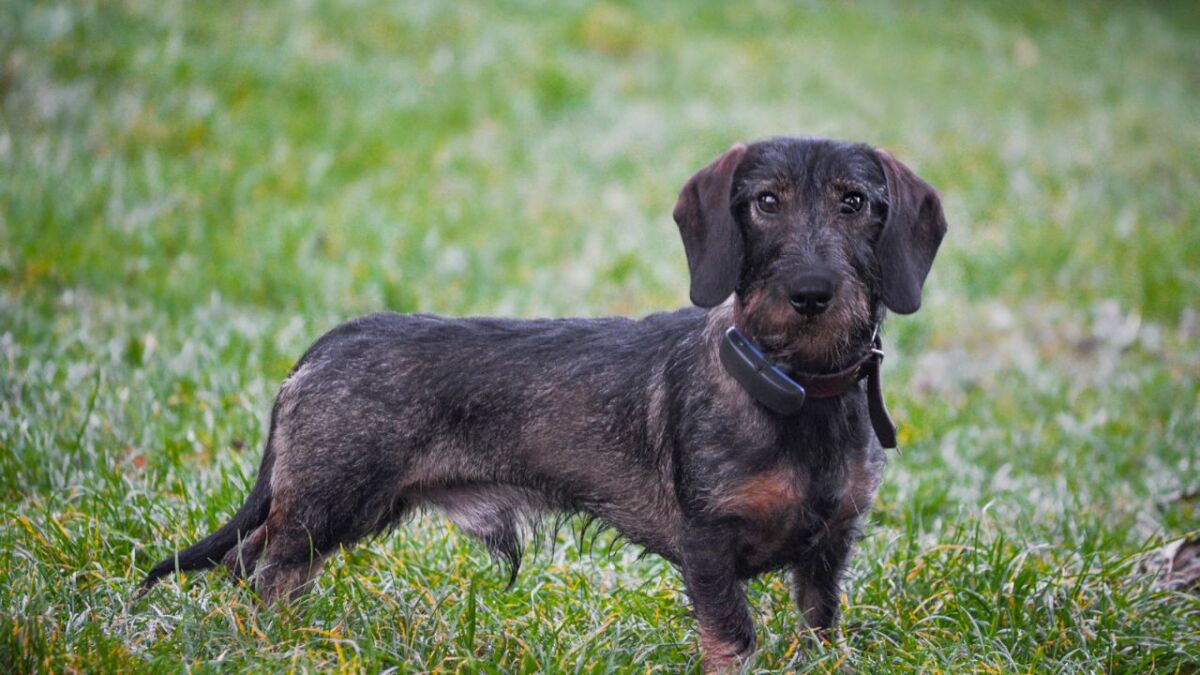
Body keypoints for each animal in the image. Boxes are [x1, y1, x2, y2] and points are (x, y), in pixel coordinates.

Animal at [140, 135, 945, 667]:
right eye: (766, 202)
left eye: (856, 203)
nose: (811, 293)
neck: (797, 389)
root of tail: (321, 349)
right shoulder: (707, 546)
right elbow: (732, 640)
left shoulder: (830, 547)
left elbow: (821, 627)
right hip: (331, 499)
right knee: (265, 568)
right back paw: (275, 646)